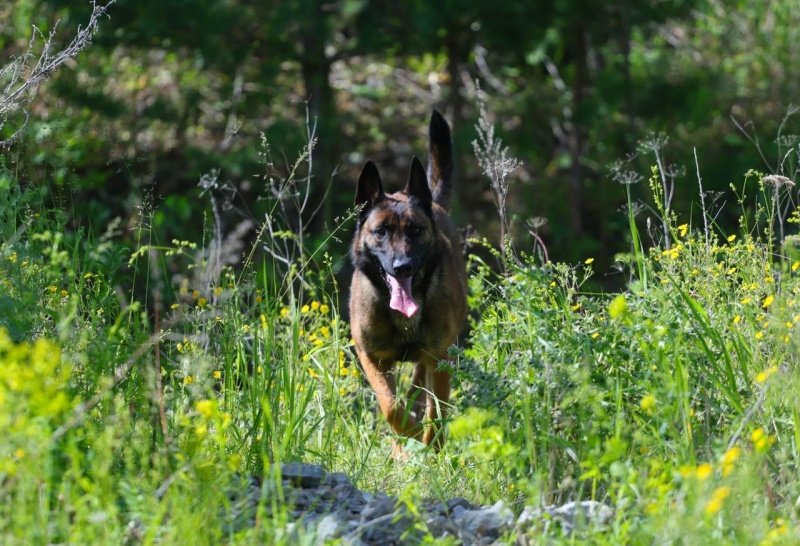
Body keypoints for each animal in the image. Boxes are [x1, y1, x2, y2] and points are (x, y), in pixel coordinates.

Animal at [350, 110, 468, 450]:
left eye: (415, 230)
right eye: (381, 231)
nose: (402, 267)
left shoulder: (439, 358)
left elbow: (435, 414)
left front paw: (429, 445)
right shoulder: (372, 357)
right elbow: (391, 408)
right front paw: (407, 438)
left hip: (430, 359)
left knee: (421, 395)